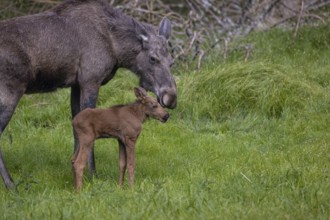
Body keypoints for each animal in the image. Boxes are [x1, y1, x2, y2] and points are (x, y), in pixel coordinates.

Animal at [0, 0, 178, 189]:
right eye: (153, 58)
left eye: (172, 62)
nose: (171, 97)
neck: (116, 49)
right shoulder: (90, 80)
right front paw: (93, 176)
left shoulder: (76, 84)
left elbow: (76, 129)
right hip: (11, 91)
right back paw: (10, 184)